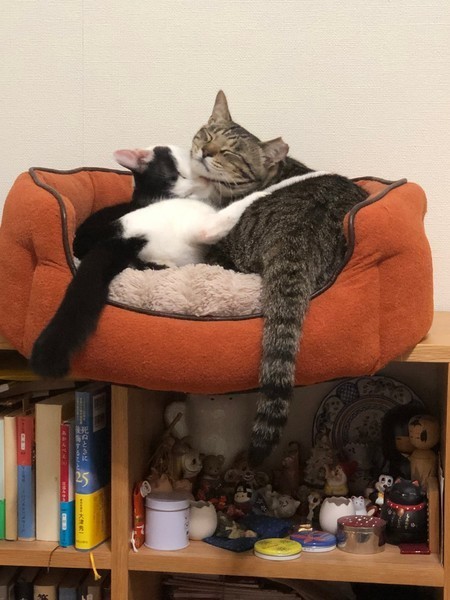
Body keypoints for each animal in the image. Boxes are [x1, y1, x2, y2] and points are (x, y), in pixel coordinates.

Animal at [30, 144, 289, 378]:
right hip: (202, 228)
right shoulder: (207, 222)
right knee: (233, 211)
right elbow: (242, 201)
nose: (199, 161)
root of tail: (121, 236)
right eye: (178, 174)